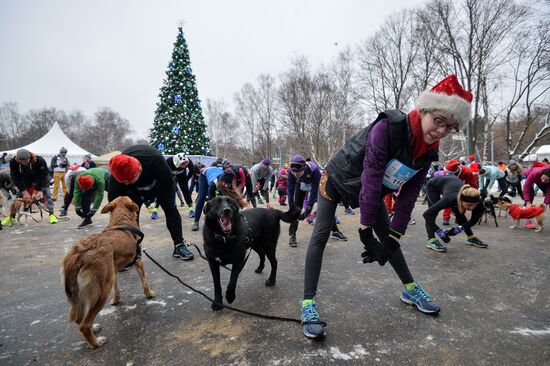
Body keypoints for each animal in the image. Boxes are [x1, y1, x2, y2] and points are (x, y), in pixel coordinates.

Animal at [61, 196, 156, 348]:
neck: (120, 220)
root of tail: (78, 253)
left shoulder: (114, 272)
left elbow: (116, 290)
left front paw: (116, 300)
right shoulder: (138, 261)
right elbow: (144, 282)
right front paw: (149, 294)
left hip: (81, 295)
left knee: (79, 319)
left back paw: (94, 329)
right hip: (101, 291)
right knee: (84, 324)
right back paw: (96, 343)